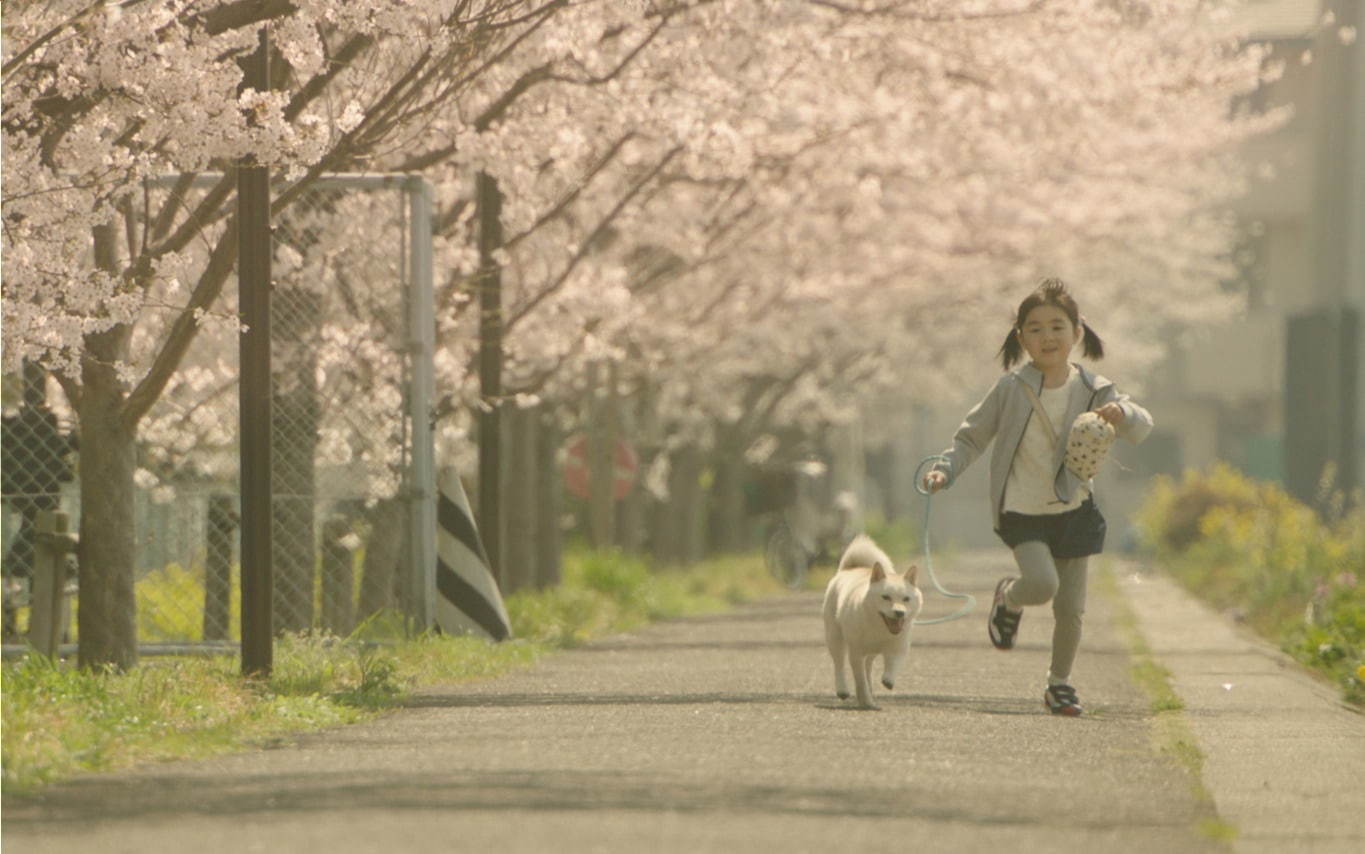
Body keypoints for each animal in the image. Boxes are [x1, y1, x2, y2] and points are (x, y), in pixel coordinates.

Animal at [824, 532, 922, 703]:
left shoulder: (899, 646)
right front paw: (866, 700)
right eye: (886, 597)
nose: (899, 612)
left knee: (868, 665)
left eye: (906, 599)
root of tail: (852, 568)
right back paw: (842, 690)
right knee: (839, 663)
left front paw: (888, 679)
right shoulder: (856, 653)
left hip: (871, 651)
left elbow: (893, 664)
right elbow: (859, 679)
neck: (879, 628)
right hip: (835, 637)